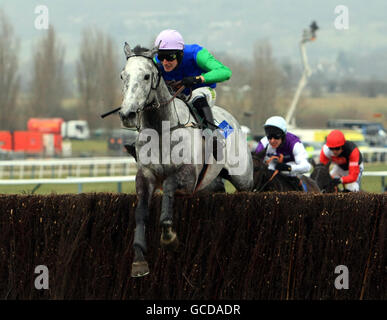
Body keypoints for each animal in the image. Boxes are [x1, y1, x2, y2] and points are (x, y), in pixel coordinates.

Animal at [119, 43, 256, 278]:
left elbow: (169, 185)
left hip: (243, 179)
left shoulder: (188, 177)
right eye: (123, 76)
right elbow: (140, 213)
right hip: (210, 183)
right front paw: (139, 260)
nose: (127, 114)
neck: (162, 129)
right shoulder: (145, 174)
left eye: (146, 76)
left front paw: (169, 237)